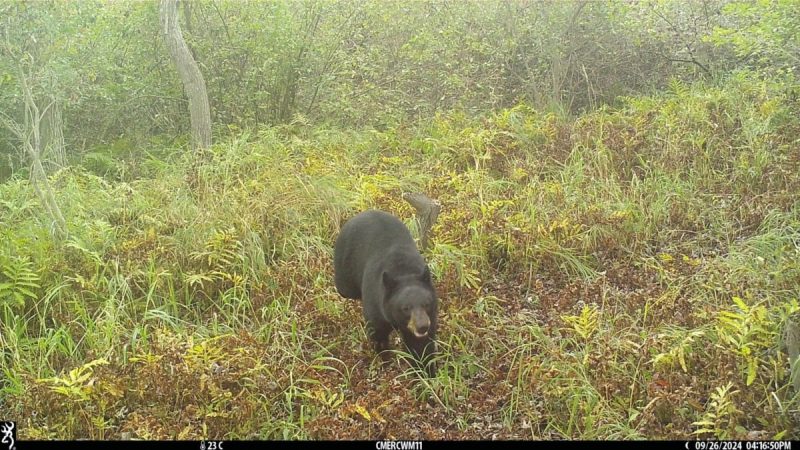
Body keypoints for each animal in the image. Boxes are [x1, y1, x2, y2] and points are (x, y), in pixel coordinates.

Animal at [333, 209, 438, 376]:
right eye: (405, 308)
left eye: (426, 303)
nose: (422, 326)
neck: (403, 271)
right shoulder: (375, 304)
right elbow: (378, 334)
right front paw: (385, 360)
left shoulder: (430, 316)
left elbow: (421, 346)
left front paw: (426, 372)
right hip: (345, 269)